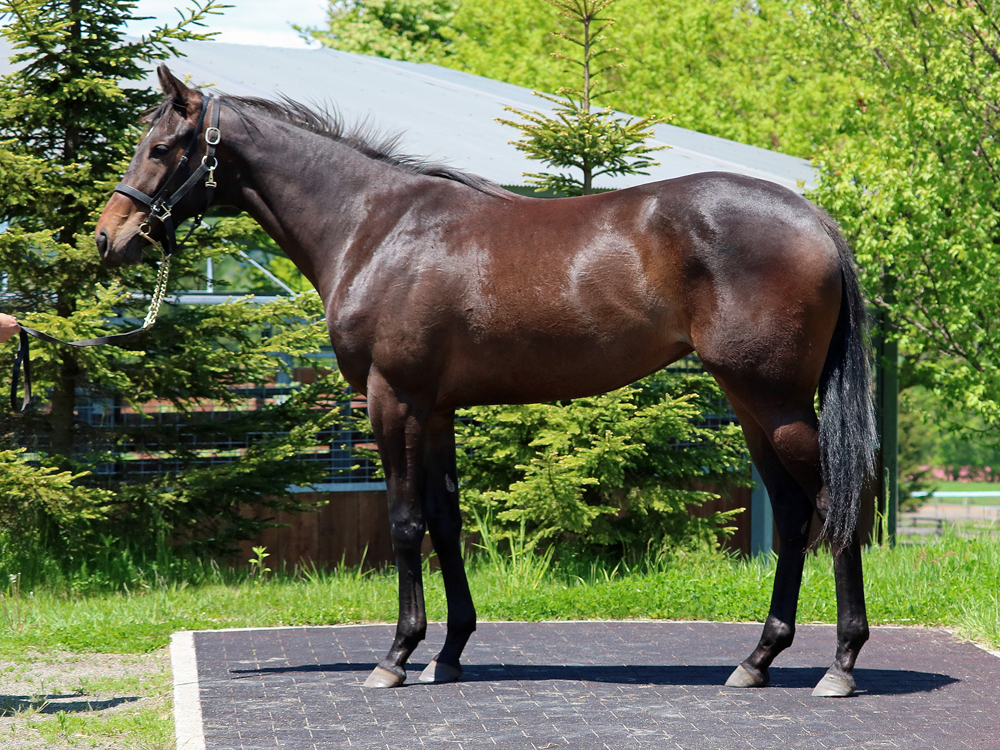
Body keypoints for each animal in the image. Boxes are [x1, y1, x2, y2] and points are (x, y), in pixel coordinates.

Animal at [96, 66, 878, 698]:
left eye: (161, 147)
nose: (109, 237)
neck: (374, 228)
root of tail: (814, 219)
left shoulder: (393, 399)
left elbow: (405, 522)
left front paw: (396, 656)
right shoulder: (436, 409)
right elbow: (445, 519)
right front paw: (449, 653)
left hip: (774, 402)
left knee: (833, 506)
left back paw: (840, 664)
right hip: (751, 404)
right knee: (795, 514)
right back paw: (757, 659)